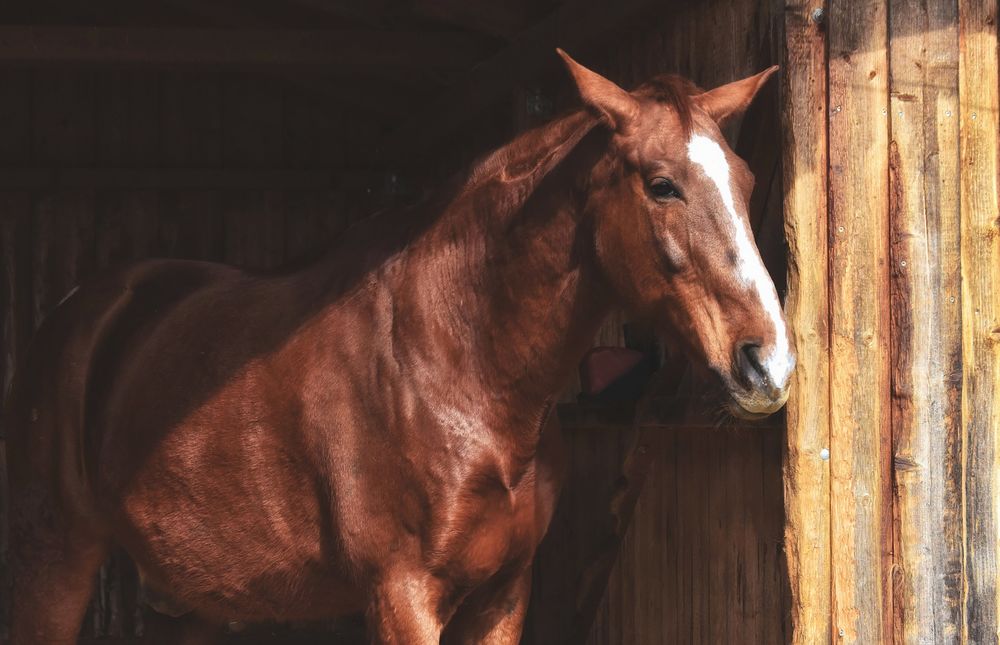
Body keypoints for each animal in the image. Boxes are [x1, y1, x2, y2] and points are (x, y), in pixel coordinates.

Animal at [4, 50, 793, 644]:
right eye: (661, 185)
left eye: (748, 179)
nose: (769, 364)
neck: (458, 363)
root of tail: (85, 310)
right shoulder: (402, 595)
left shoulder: (504, 594)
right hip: (56, 560)